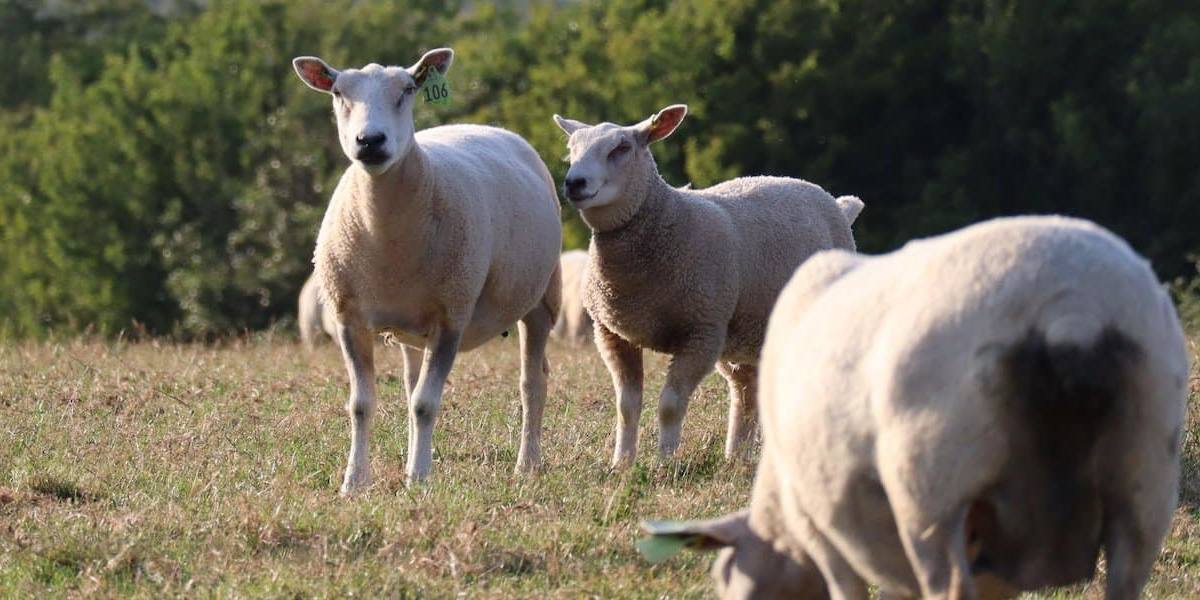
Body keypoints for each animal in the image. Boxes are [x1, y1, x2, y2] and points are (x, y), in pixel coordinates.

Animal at [293, 48, 562, 491]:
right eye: (337, 92)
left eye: (407, 89)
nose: (370, 141)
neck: (386, 236)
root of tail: (485, 127)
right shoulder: (349, 318)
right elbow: (362, 404)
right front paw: (354, 481)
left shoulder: (451, 315)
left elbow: (424, 404)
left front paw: (418, 479)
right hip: (408, 327)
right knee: (408, 383)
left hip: (541, 299)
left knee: (532, 381)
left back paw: (527, 462)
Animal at [552, 104, 863, 466]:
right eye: (570, 149)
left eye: (622, 148)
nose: (574, 183)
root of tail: (837, 203)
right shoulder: (612, 333)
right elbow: (626, 407)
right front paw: (622, 464)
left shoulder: (701, 332)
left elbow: (670, 406)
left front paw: (664, 464)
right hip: (742, 335)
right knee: (745, 391)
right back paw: (735, 457)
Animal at [639, 216, 1189, 599]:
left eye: (725, 574)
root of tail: (1068, 309)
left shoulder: (825, 524)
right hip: (1146, 474)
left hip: (931, 484)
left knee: (947, 586)